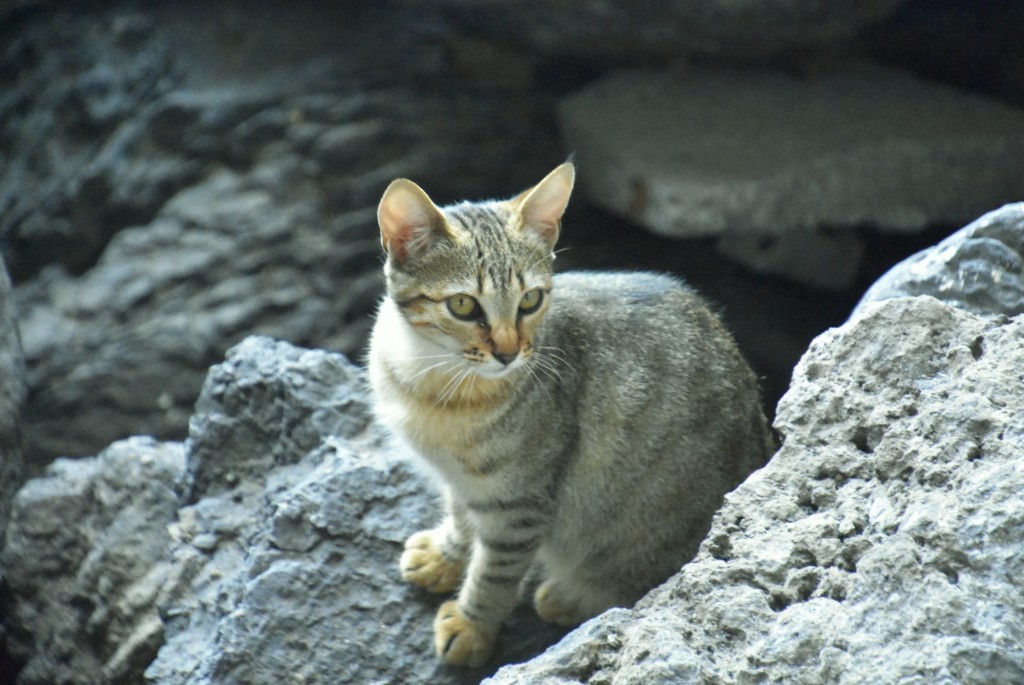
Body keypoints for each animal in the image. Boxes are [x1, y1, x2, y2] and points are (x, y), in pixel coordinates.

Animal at [364, 162, 770, 663]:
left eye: (531, 301)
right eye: (462, 305)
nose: (507, 353)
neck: (435, 377)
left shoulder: (518, 503)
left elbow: (495, 573)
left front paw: (472, 625)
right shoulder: (463, 480)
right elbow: (461, 517)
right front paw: (445, 555)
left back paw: (569, 596)